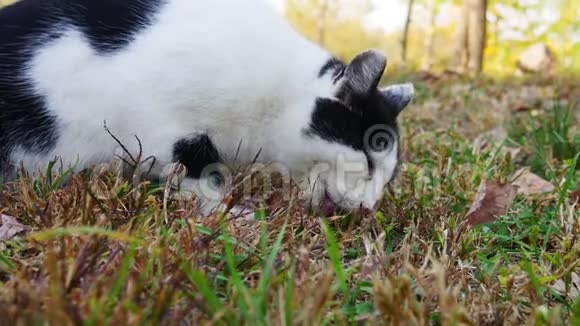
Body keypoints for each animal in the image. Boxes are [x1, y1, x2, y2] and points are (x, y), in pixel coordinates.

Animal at [2, 0, 414, 215]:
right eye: (368, 160)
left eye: (387, 175)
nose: (369, 207)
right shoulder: (157, 116)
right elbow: (201, 169)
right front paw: (229, 217)